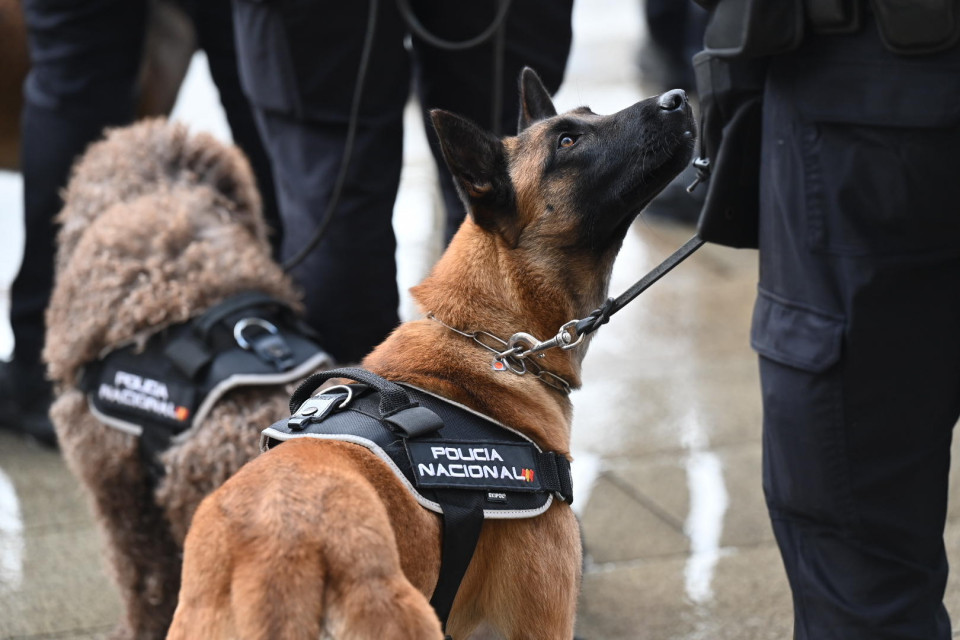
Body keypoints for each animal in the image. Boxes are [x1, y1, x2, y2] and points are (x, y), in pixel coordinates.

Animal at [169, 67, 692, 636]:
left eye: (589, 116)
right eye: (567, 142)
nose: (678, 98)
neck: (492, 339)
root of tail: (274, 560)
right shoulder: (538, 621)